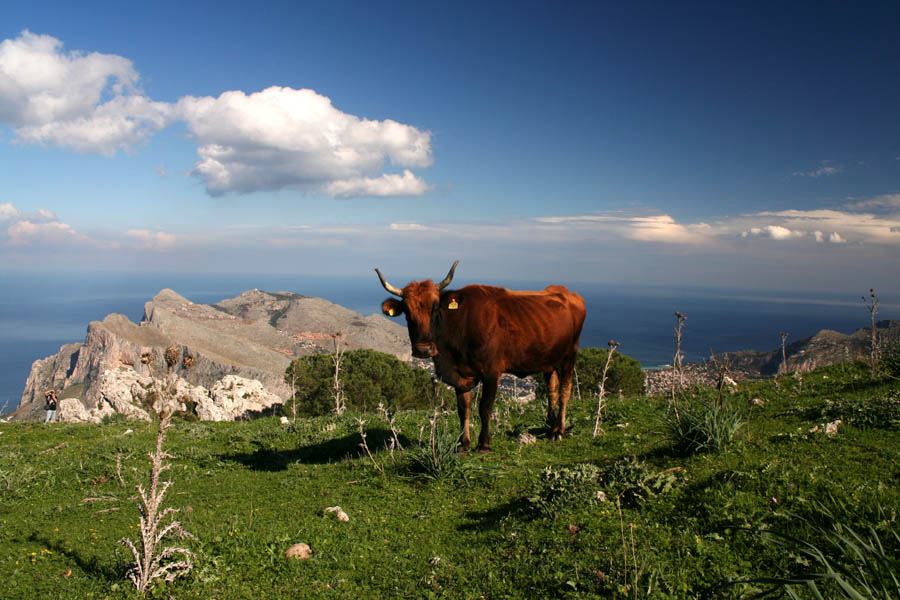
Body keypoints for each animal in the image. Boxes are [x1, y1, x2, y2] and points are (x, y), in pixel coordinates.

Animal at [376, 260, 588, 452]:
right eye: (407, 312)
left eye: (436, 309)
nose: (423, 349)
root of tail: (566, 293)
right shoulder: (461, 374)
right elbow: (463, 409)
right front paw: (464, 444)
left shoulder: (492, 372)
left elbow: (485, 407)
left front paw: (484, 444)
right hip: (549, 360)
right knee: (552, 390)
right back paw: (549, 424)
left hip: (570, 355)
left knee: (565, 390)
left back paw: (558, 431)